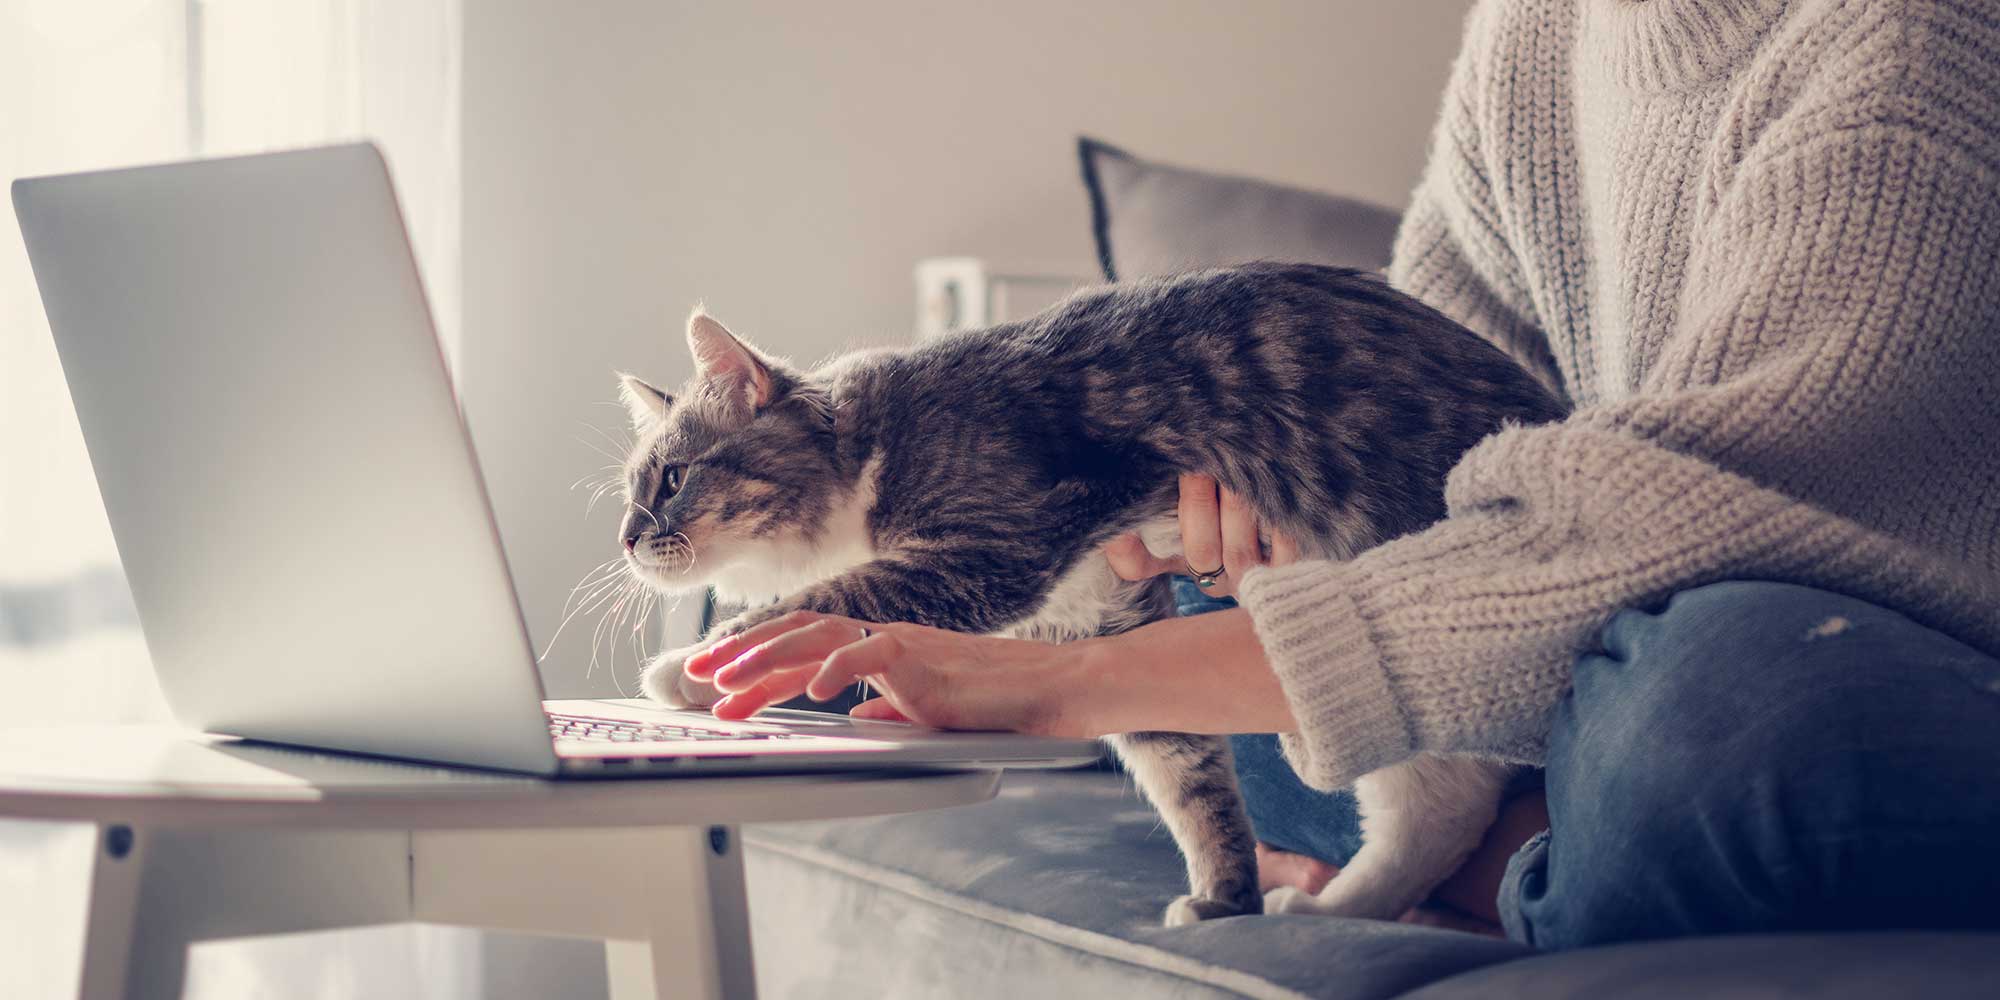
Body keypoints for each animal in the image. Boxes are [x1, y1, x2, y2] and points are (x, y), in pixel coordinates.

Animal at [616, 262, 1568, 924]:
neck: (869, 441)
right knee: (1443, 803)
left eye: (672, 479)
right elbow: (1188, 775)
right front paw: (1227, 898)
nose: (627, 537)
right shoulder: (1105, 618)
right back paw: (1335, 906)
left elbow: (826, 601)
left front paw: (689, 666)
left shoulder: (996, 544)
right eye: (632, 488)